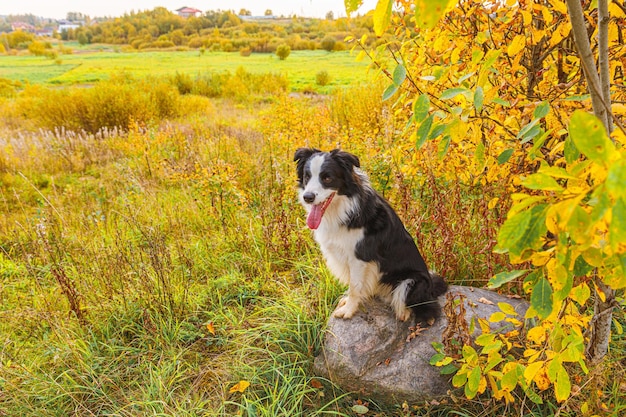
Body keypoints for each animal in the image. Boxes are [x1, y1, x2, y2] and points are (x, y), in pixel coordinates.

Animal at [292, 148, 444, 324]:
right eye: (307, 177)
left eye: (327, 177)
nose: (308, 197)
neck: (342, 209)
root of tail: (432, 287)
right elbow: (354, 284)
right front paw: (349, 302)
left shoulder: (359, 257)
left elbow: (354, 286)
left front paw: (348, 310)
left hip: (412, 281)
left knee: (425, 308)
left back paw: (405, 313)